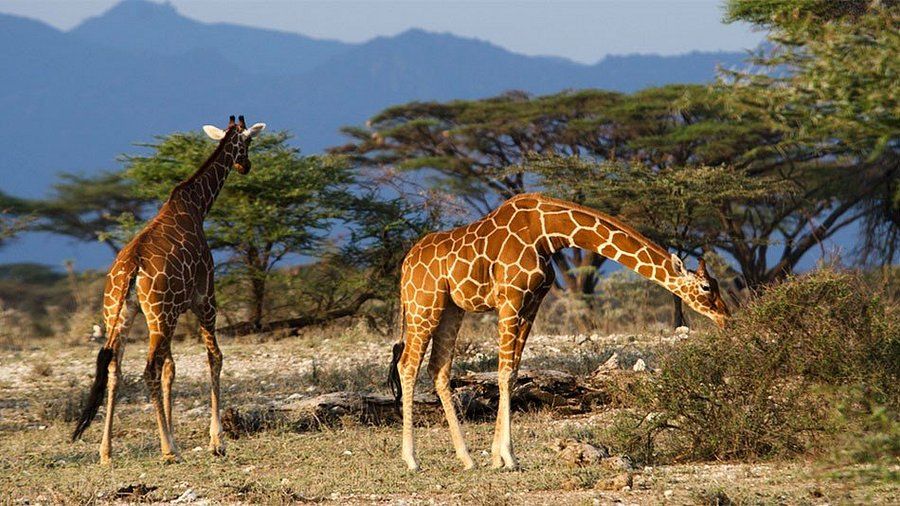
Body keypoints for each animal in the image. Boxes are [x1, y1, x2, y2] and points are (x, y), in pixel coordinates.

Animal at [71, 115, 266, 465]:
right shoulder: (205, 297)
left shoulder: (175, 312)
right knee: (148, 369)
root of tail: (131, 271)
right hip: (160, 316)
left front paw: (176, 433)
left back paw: (106, 451)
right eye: (248, 142)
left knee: (115, 367)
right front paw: (216, 441)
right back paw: (168, 450)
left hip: (124, 315)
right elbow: (214, 357)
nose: (245, 166)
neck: (197, 206)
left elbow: (171, 369)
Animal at [388, 193, 730, 471]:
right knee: (408, 365)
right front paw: (509, 457)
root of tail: (405, 266)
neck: (548, 233)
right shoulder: (510, 300)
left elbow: (513, 372)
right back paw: (411, 460)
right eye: (706, 287)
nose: (726, 317)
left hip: (450, 309)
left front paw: (498, 457)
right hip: (423, 305)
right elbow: (503, 373)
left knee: (438, 370)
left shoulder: (532, 302)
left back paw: (467, 459)